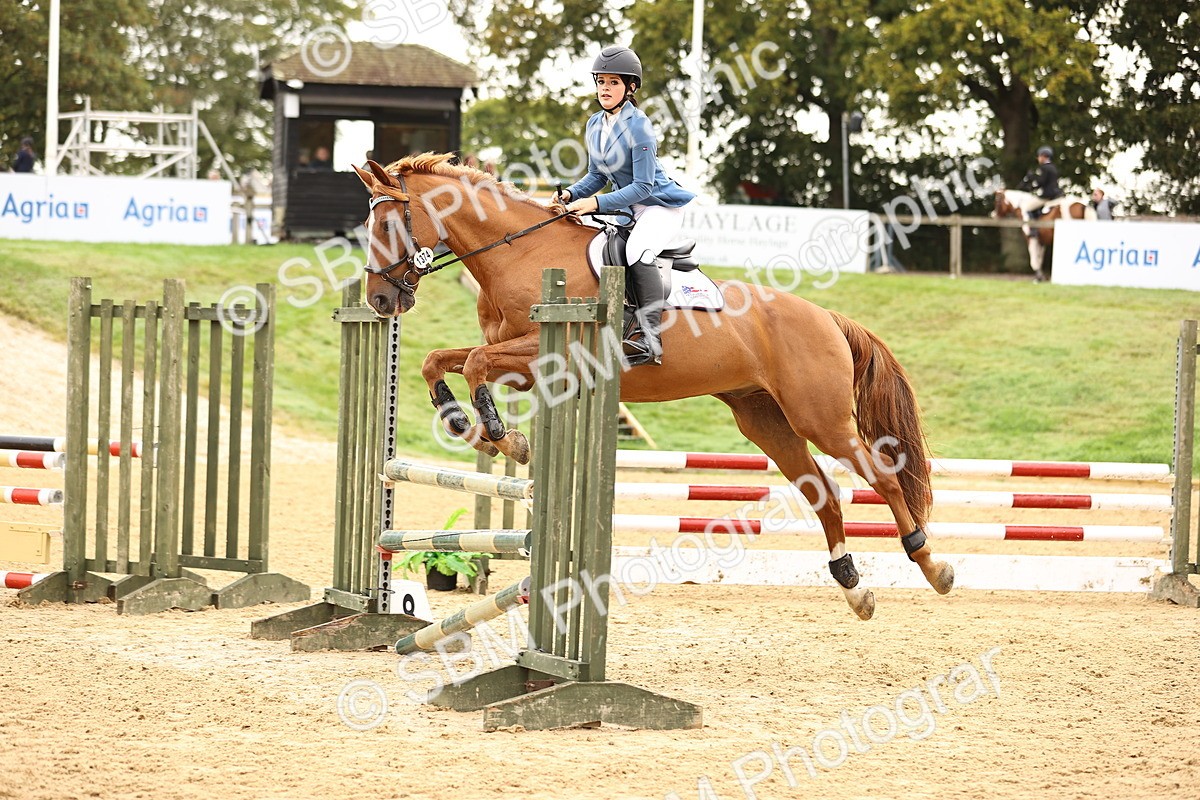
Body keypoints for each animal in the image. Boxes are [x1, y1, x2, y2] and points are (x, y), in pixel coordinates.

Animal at [353, 153, 953, 620]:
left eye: (386, 226)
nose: (380, 301)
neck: (519, 253)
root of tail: (826, 316)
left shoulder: (551, 355)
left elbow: (475, 363)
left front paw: (505, 436)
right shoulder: (520, 365)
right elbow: (439, 361)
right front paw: (466, 423)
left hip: (820, 418)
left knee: (885, 477)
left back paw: (932, 564)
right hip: (765, 421)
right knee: (824, 494)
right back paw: (854, 588)